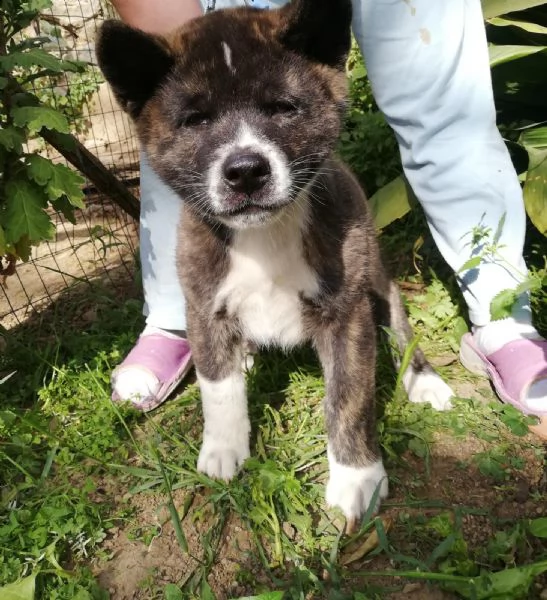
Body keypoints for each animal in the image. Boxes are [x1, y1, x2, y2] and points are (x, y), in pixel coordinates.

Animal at [97, 0, 454, 524]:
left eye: (284, 108)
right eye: (196, 120)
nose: (246, 171)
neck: (263, 234)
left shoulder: (346, 315)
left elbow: (349, 397)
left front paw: (357, 477)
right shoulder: (204, 307)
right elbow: (218, 389)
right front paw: (223, 449)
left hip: (376, 282)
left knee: (399, 324)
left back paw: (423, 381)